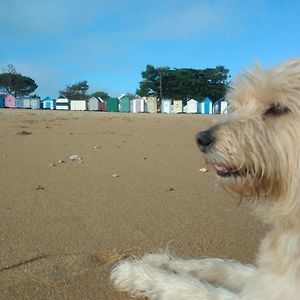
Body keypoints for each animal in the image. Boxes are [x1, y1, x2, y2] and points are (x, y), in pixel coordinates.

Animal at [111, 57, 300, 298]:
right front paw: (165, 261)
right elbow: (220, 265)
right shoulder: (264, 279)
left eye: (278, 108)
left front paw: (136, 272)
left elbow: (187, 286)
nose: (201, 138)